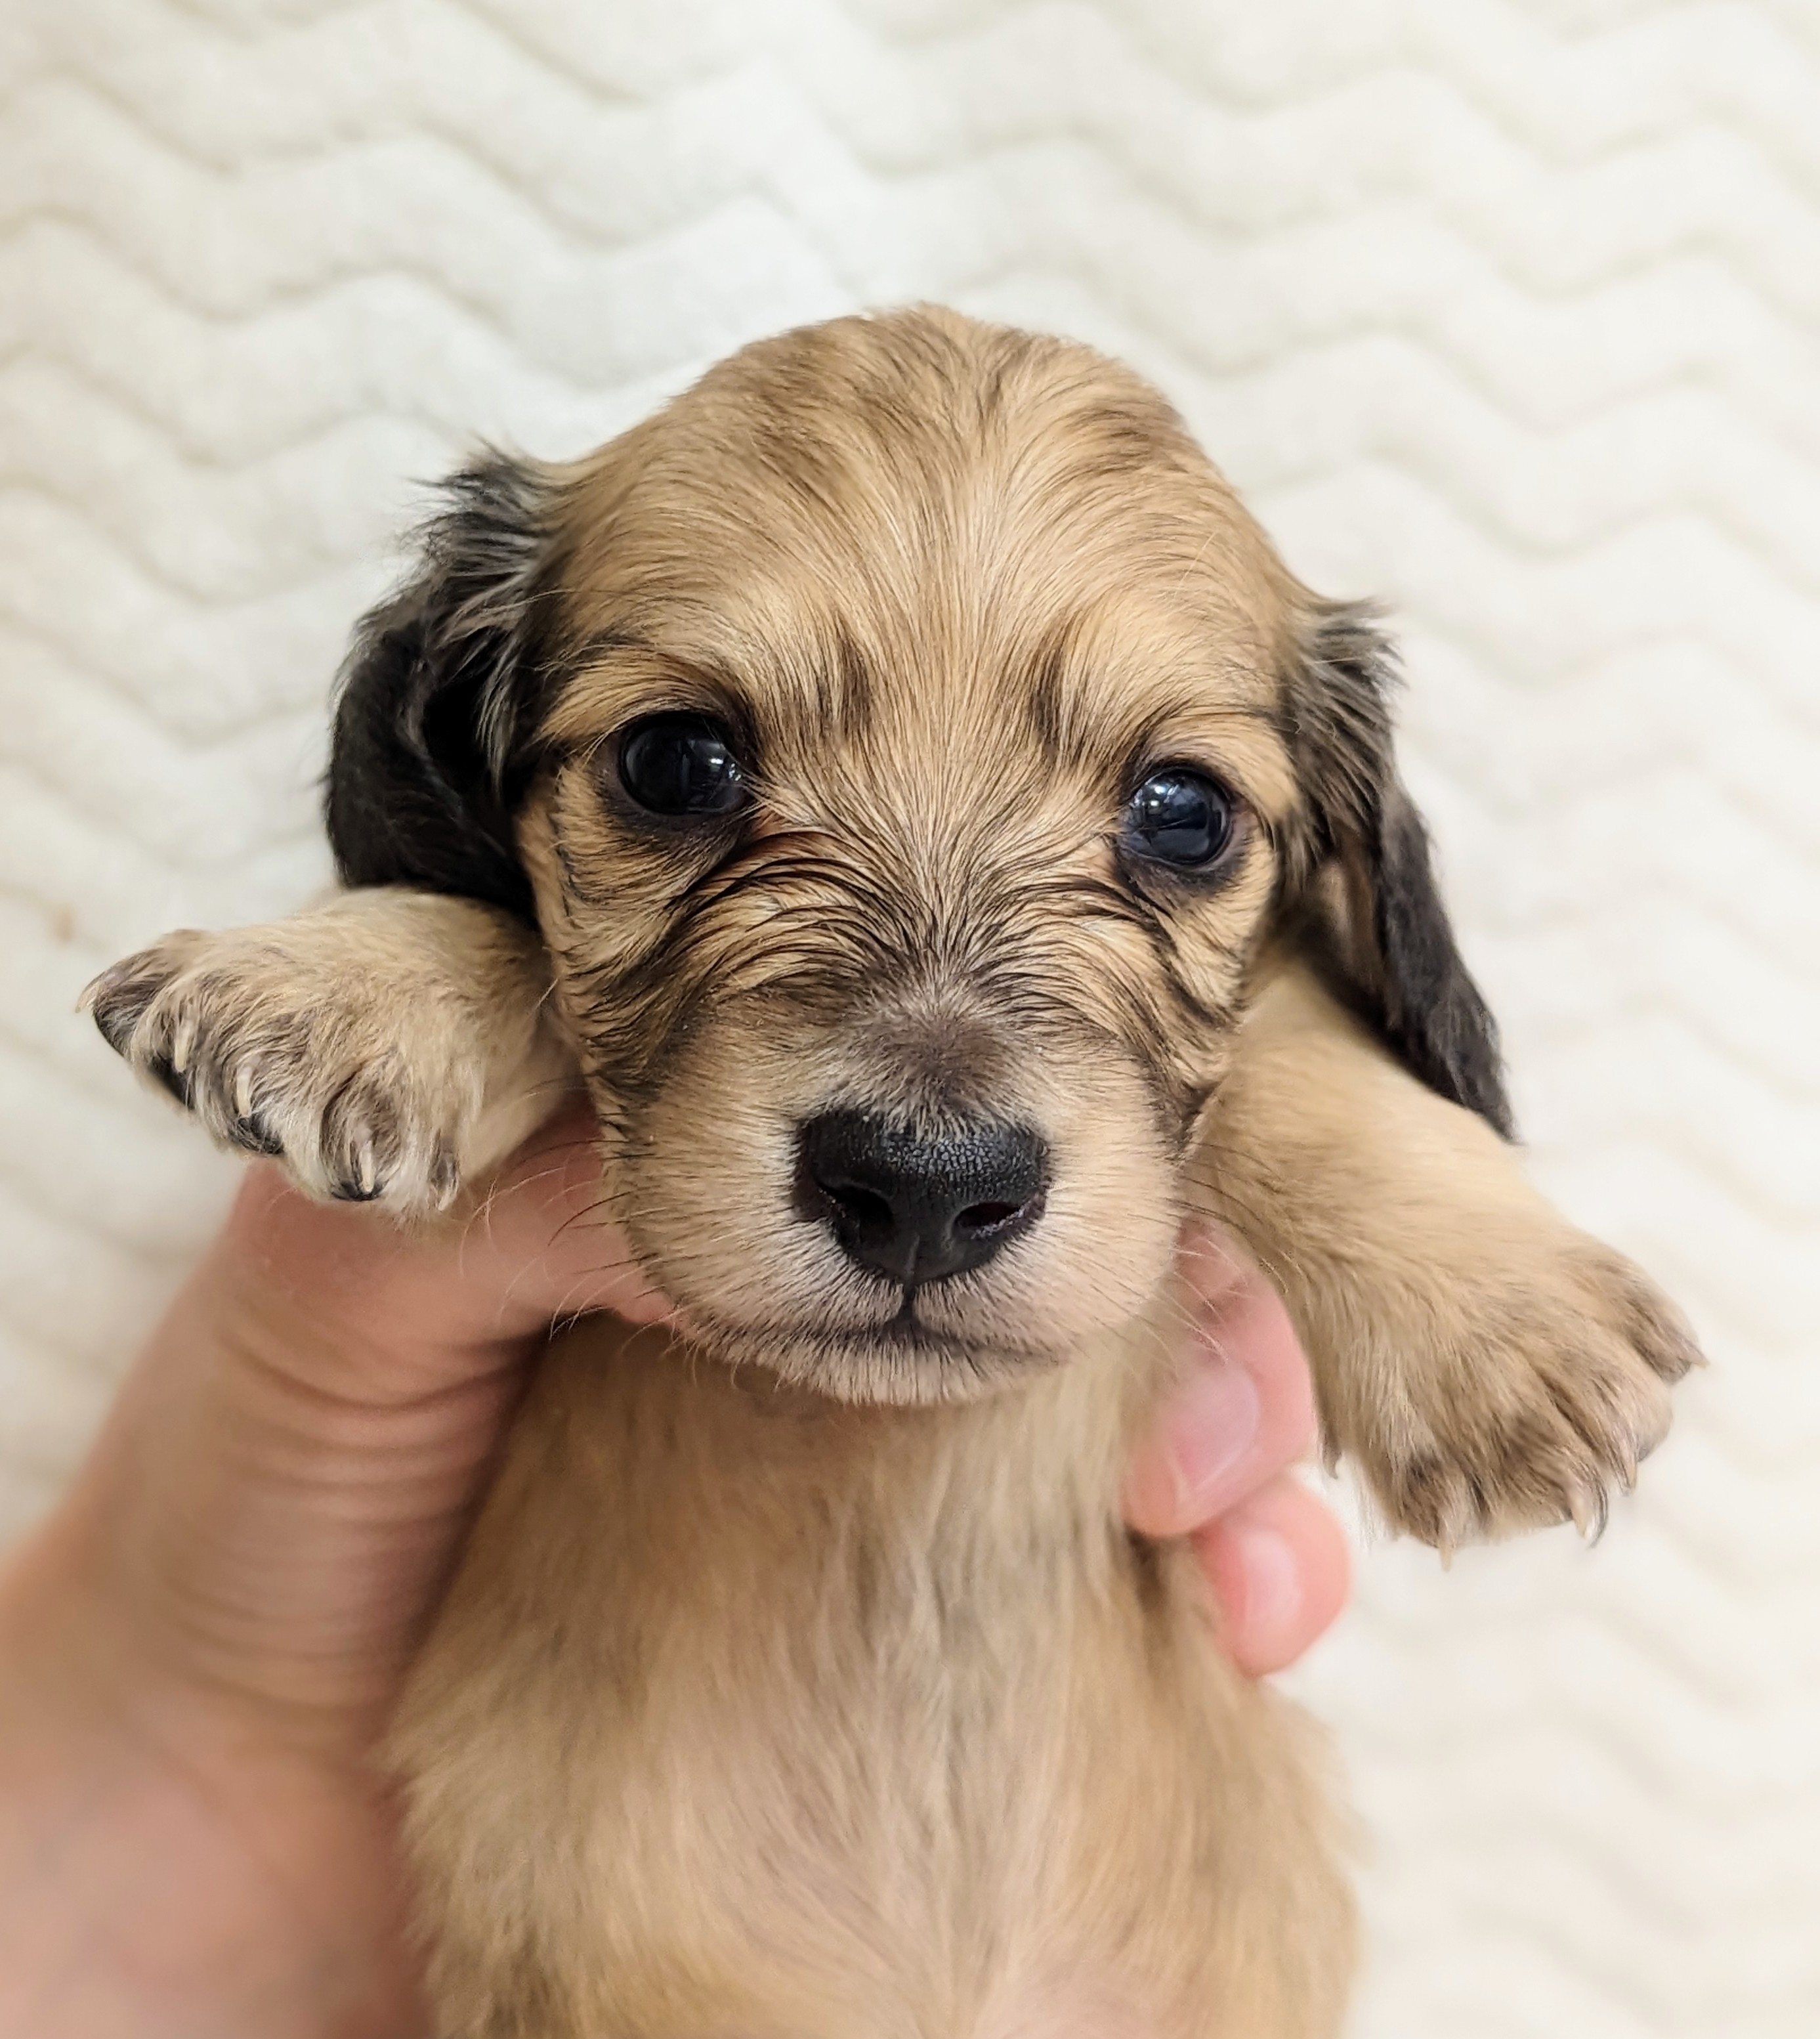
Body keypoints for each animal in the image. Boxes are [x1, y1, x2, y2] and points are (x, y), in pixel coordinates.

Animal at [87, 307, 1699, 2038]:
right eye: (676, 762)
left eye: (1183, 812)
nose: (925, 1190)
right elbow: (512, 939)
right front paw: (343, 984)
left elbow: (1287, 1036)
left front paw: (1491, 1322)